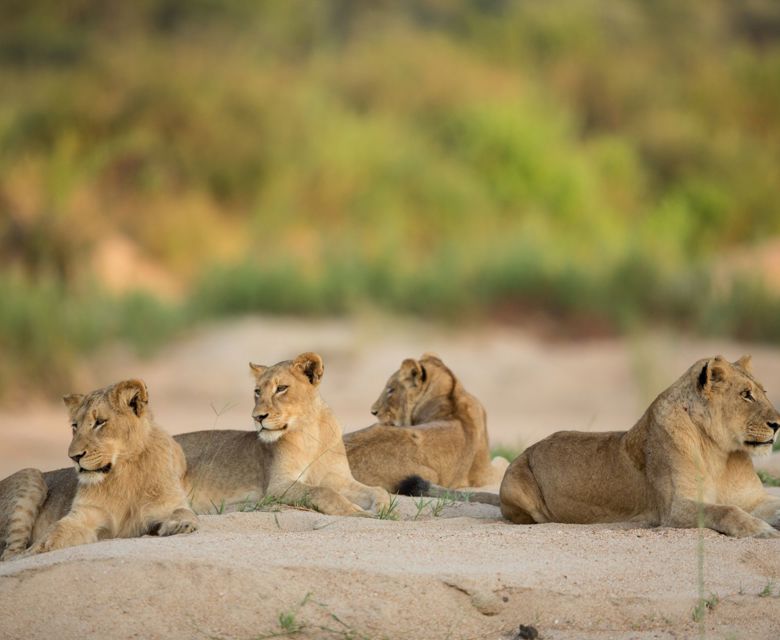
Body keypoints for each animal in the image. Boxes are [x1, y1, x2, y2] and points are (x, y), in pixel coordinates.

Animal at [0, 379, 198, 560]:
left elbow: (183, 511)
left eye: (99, 422)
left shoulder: (167, 503)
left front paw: (182, 525)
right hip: (30, 473)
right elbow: (55, 532)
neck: (121, 473)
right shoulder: (84, 516)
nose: (74, 457)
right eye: (75, 426)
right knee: (8, 554)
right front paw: (33, 550)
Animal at [175, 352, 391, 517]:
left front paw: (382, 508)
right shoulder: (278, 485)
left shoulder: (339, 479)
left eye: (281, 388)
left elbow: (379, 491)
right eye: (257, 391)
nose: (257, 417)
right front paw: (357, 512)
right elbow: (322, 491)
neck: (310, 433)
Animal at [343, 354, 508, 493]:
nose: (373, 411)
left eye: (391, 389)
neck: (452, 394)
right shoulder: (484, 474)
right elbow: (503, 461)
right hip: (428, 476)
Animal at [499, 355, 780, 538]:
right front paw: (761, 529)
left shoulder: (754, 499)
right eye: (746, 395)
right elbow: (726, 511)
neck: (720, 452)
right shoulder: (675, 509)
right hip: (515, 485)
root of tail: (529, 448)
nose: (778, 424)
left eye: (764, 392)